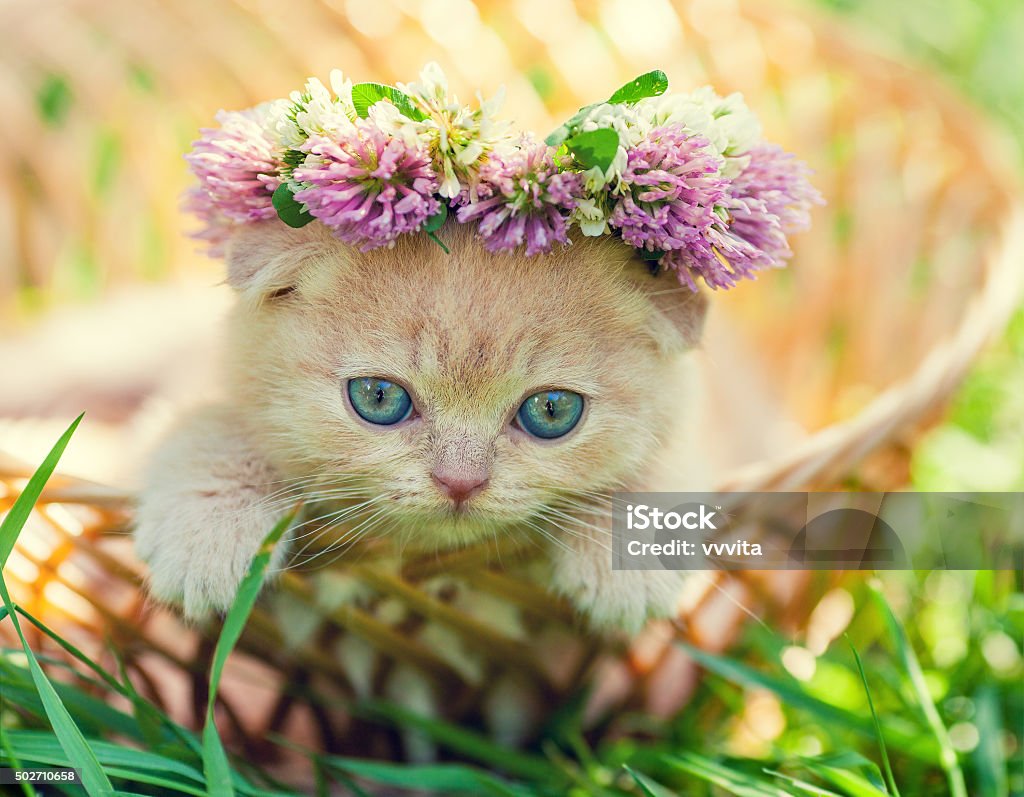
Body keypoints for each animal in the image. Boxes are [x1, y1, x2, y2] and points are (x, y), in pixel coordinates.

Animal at [134, 219, 712, 626]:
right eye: (379, 397)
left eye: (552, 411)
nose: (460, 481)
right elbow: (209, 425)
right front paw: (210, 529)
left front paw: (631, 559)